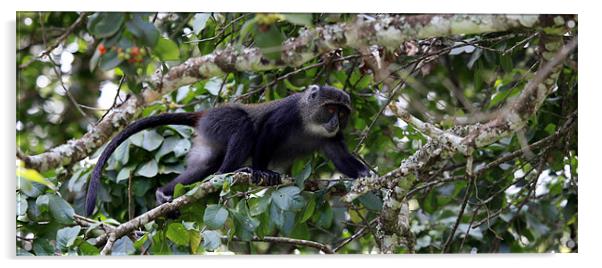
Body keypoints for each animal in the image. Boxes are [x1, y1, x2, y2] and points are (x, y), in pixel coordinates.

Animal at [82, 85, 368, 217]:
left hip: (209, 139)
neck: (310, 122)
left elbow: (341, 158)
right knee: (243, 127)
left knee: (203, 167)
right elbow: (264, 134)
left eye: (342, 113)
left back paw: (164, 193)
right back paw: (229, 172)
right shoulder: (286, 115)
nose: (335, 122)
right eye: (330, 109)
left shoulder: (332, 139)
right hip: (220, 121)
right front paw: (263, 171)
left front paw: (367, 176)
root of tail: (205, 114)